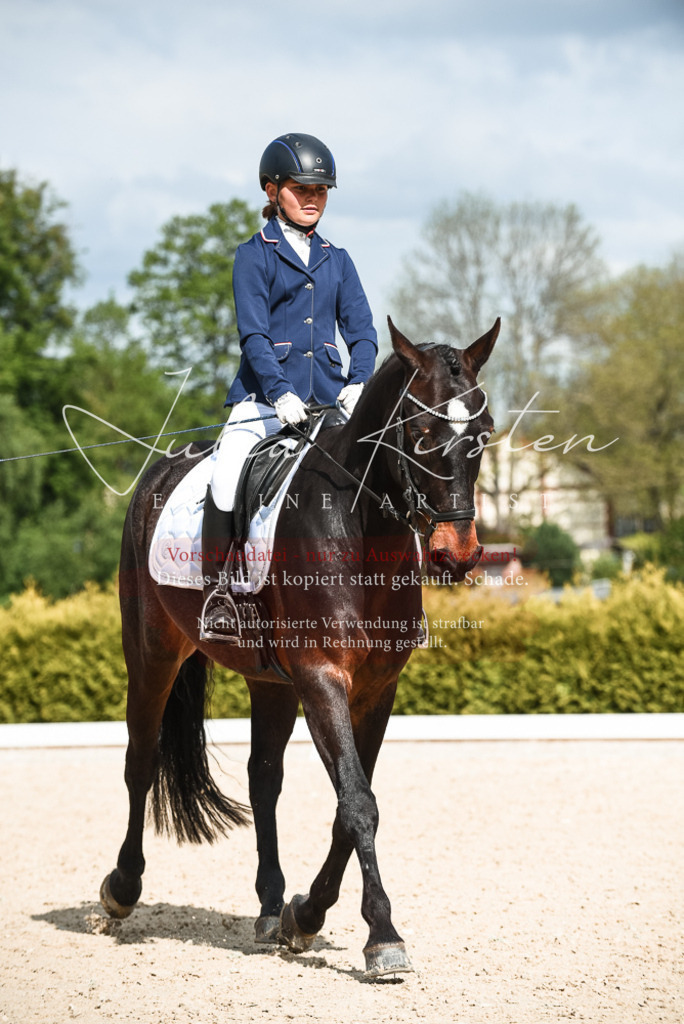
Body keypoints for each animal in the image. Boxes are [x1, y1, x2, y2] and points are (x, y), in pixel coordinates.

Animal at [100, 316, 499, 979]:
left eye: (484, 433)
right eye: (419, 433)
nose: (457, 555)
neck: (362, 530)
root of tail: (159, 472)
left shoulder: (375, 690)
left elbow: (349, 803)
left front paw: (305, 915)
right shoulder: (321, 677)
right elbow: (358, 801)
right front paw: (383, 936)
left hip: (270, 682)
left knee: (264, 779)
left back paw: (268, 908)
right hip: (153, 654)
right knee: (140, 760)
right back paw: (121, 889)